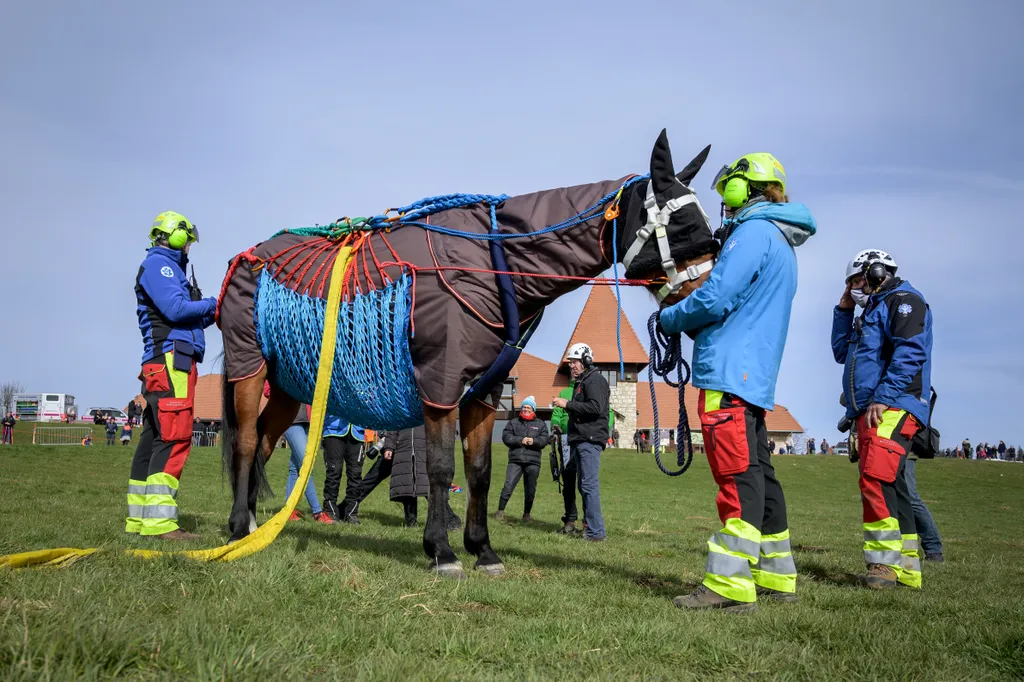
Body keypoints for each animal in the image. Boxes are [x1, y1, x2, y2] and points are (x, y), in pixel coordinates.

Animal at [217, 127, 716, 573]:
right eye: (683, 223)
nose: (711, 291)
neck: (491, 263)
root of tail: (247, 257)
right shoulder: (440, 387)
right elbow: (440, 469)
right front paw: (441, 550)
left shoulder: (485, 393)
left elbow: (479, 471)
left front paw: (483, 549)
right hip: (250, 369)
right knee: (246, 442)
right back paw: (240, 525)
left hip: (287, 385)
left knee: (264, 441)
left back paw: (252, 524)